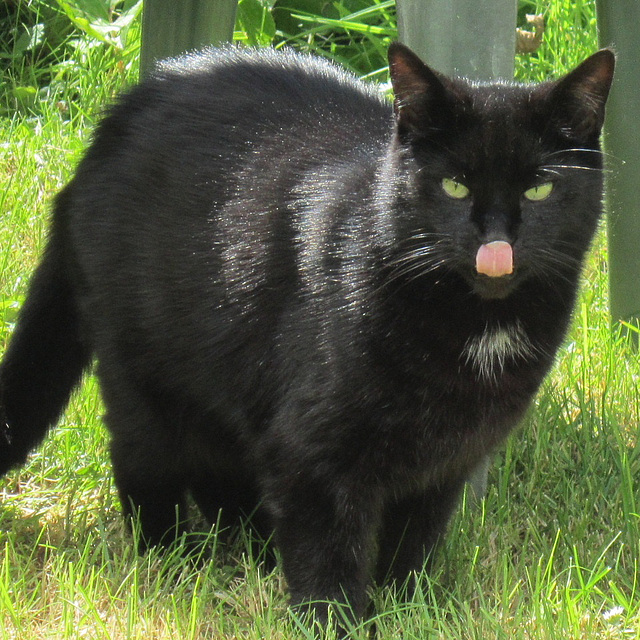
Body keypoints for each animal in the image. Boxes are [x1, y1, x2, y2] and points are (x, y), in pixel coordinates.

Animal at [0, 42, 616, 624]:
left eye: (539, 189)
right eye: (454, 185)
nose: (496, 241)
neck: (476, 328)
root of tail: (100, 141)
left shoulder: (444, 463)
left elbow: (412, 543)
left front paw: (408, 610)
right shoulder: (315, 454)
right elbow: (328, 553)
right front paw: (335, 621)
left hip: (229, 379)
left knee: (221, 468)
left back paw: (250, 554)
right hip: (146, 369)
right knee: (144, 462)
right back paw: (174, 562)